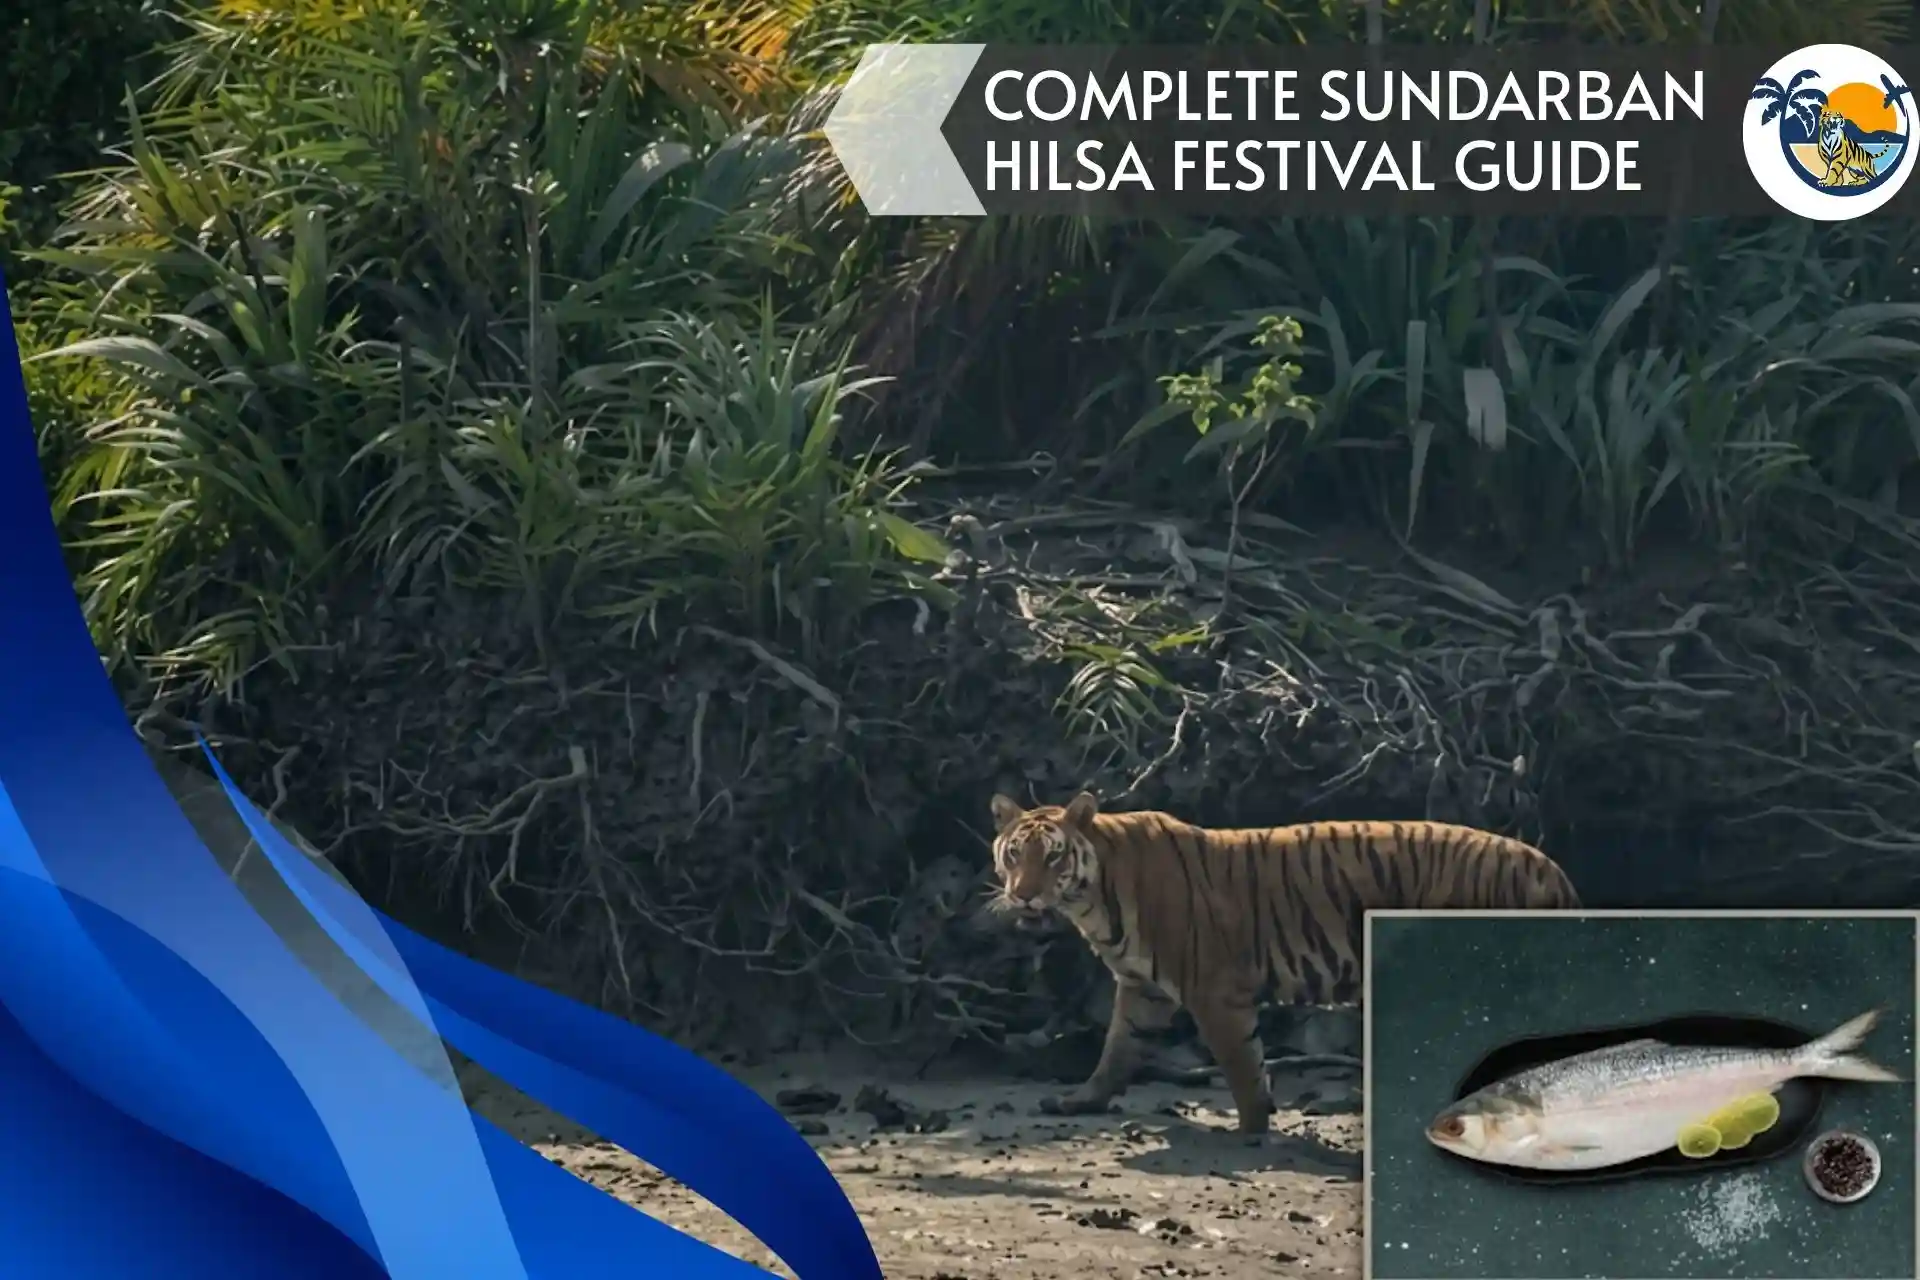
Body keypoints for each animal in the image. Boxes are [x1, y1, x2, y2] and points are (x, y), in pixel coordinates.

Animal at [987, 791, 1581, 1135]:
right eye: (1014, 854)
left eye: (1054, 856)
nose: (1022, 896)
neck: (1092, 898)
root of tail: (1552, 868)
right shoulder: (1141, 988)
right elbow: (1116, 1049)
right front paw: (1079, 1101)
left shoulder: (1215, 992)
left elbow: (1242, 1063)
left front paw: (1253, 1126)